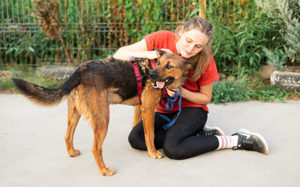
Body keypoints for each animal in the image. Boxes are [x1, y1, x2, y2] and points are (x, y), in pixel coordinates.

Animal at [12, 49, 191, 176]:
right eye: (159, 63)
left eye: (169, 66)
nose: (151, 75)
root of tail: (80, 71)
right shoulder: (148, 111)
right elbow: (150, 135)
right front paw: (153, 153)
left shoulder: (138, 108)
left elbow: (136, 127)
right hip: (103, 119)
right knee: (95, 148)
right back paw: (104, 171)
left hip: (75, 114)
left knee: (67, 136)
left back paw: (72, 153)